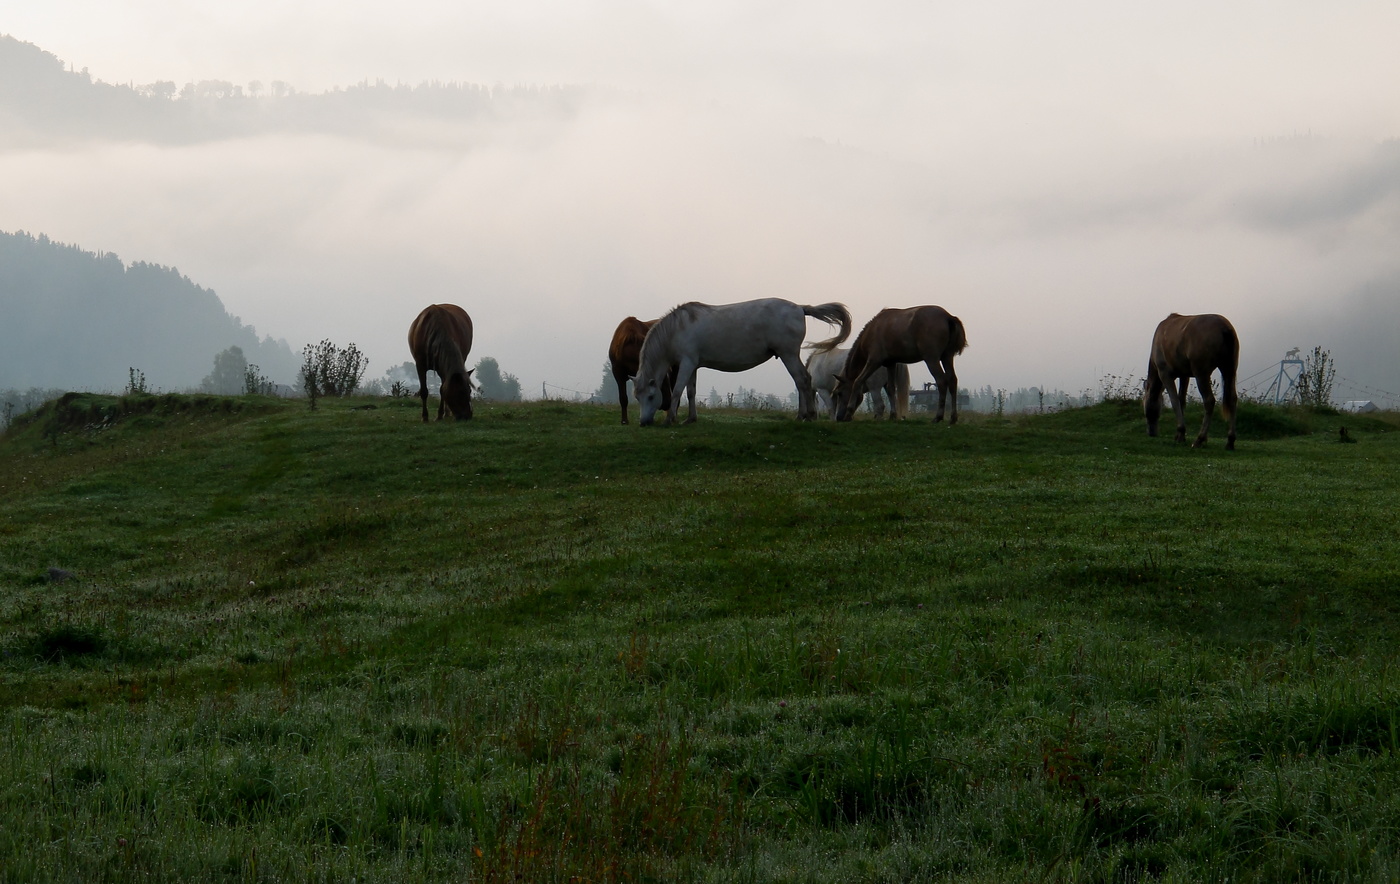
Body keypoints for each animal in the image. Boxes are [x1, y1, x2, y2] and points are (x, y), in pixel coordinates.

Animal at [635, 299, 851, 425]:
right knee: (801, 382)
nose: (643, 422)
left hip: (788, 355)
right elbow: (691, 392)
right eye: (637, 397)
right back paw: (803, 415)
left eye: (651, 397)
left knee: (803, 380)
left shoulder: (686, 363)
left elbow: (678, 391)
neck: (678, 328)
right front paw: (690, 419)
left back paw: (807, 415)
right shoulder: (693, 365)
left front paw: (670, 418)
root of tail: (800, 308)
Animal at [834, 308, 968, 425]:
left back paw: (938, 416)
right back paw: (953, 418)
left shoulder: (873, 361)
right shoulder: (891, 364)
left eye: (839, 393)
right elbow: (891, 389)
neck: (873, 330)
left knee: (941, 381)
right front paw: (893, 415)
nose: (838, 417)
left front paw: (849, 413)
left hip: (932, 359)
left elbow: (858, 381)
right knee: (952, 381)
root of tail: (948, 317)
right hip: (947, 357)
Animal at [1142, 312, 1243, 448]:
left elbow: (1175, 401)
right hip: (1229, 371)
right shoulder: (1184, 376)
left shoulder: (1165, 374)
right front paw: (1179, 435)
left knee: (1209, 401)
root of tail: (1225, 328)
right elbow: (1181, 401)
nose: (1151, 432)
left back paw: (1200, 439)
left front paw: (1181, 432)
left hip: (1201, 374)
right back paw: (1230, 440)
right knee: (1232, 399)